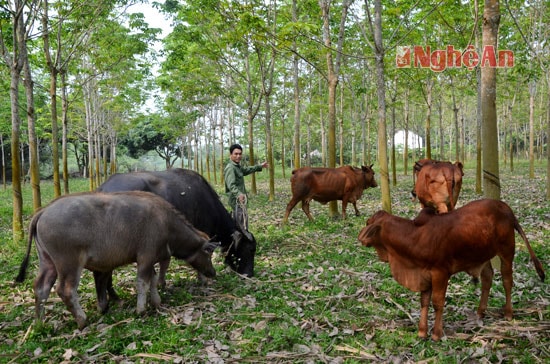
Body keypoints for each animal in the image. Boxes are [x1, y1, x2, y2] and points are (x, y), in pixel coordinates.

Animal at [14, 192, 220, 328]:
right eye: (208, 253)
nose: (212, 273)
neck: (166, 222)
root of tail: (44, 211)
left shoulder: (151, 260)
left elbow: (153, 280)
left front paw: (156, 302)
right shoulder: (145, 257)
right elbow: (142, 282)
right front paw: (140, 309)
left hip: (47, 262)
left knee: (41, 288)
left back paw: (40, 322)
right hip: (69, 264)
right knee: (65, 290)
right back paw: (82, 320)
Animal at [360, 199, 544, 342]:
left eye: (368, 223)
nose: (360, 237)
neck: (414, 237)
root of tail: (507, 209)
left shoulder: (440, 273)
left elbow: (437, 303)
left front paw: (436, 334)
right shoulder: (424, 275)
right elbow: (424, 302)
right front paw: (422, 332)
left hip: (506, 251)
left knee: (507, 280)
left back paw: (508, 313)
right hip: (483, 254)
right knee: (487, 279)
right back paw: (480, 312)